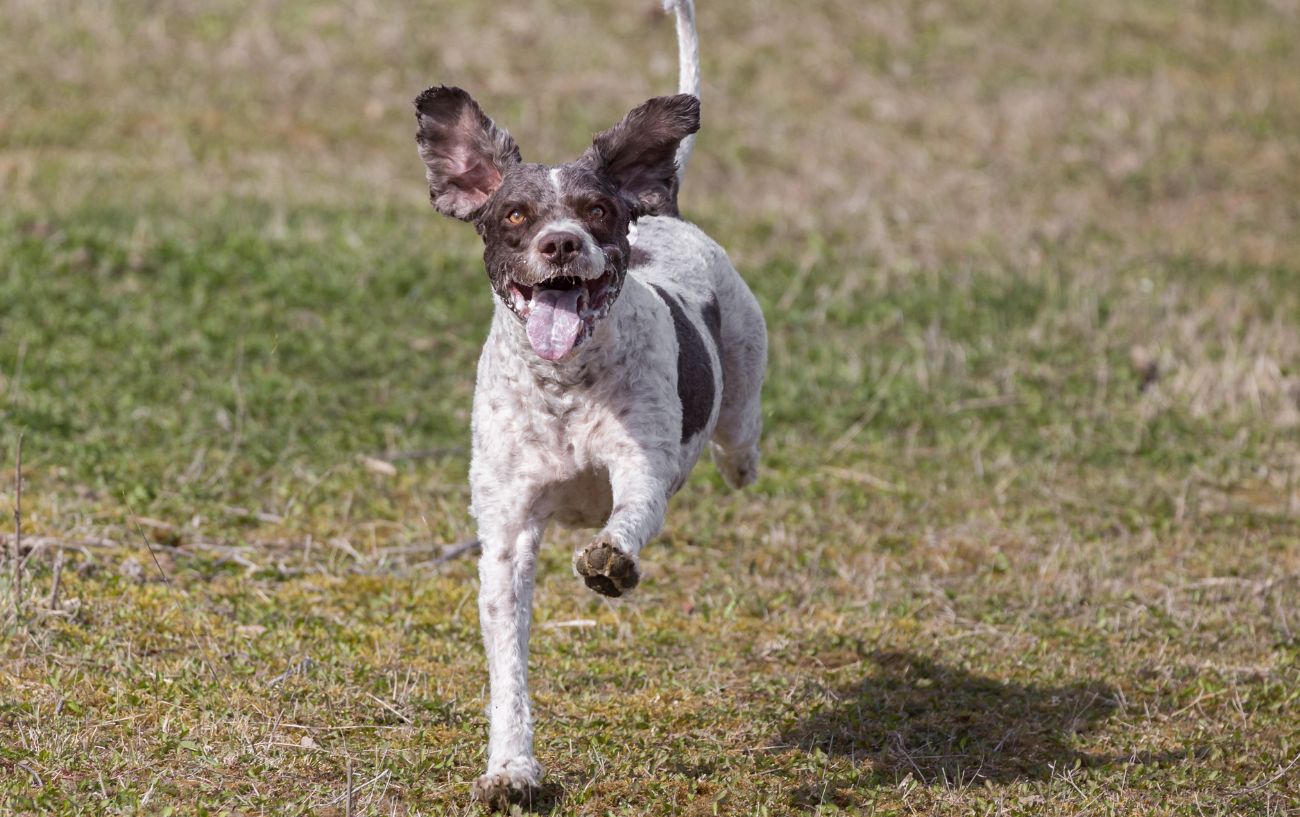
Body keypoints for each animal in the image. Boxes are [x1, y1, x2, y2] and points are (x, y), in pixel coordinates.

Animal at [410, 0, 764, 806]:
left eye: (597, 208)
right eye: (514, 215)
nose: (563, 243)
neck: (564, 386)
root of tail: (664, 210)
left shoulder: (641, 471)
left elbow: (629, 516)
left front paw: (611, 560)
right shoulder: (507, 532)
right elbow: (508, 667)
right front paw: (511, 767)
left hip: (742, 376)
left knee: (739, 437)